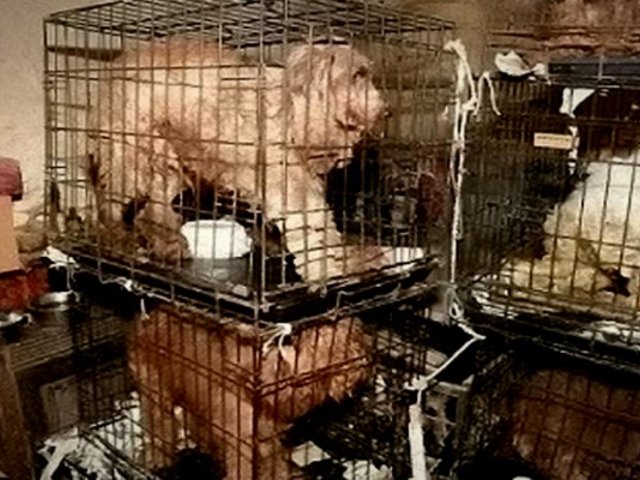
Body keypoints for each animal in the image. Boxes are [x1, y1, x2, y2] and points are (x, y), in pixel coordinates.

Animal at [88, 36, 392, 283]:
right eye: (358, 74)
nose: (386, 111)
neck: (292, 110)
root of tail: (116, 65)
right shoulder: (293, 191)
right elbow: (318, 235)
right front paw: (340, 268)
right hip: (128, 155)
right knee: (109, 206)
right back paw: (117, 241)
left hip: (171, 159)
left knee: (153, 210)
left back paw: (170, 245)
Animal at [128, 304, 369, 479]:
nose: (365, 362)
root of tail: (147, 316)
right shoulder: (240, 438)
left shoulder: (266, 437)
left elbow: (275, 465)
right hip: (155, 392)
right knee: (159, 429)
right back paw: (159, 460)